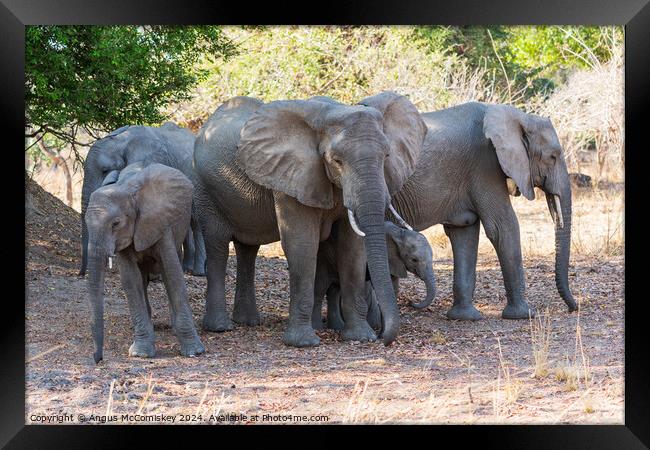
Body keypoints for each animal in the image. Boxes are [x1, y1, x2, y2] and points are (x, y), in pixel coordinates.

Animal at [78, 123, 205, 278]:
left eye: (105, 170)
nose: (81, 274)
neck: (122, 141)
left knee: (196, 220)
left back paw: (198, 272)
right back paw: (185, 268)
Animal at [85, 162, 204, 362]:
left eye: (116, 223)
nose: (98, 359)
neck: (126, 190)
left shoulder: (160, 222)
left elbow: (173, 274)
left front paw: (195, 351)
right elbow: (131, 280)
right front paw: (140, 353)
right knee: (142, 279)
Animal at [192, 90, 426, 344]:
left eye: (386, 156)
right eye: (336, 161)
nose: (383, 337)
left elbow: (352, 247)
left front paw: (361, 337)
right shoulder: (291, 176)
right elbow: (302, 243)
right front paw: (303, 343)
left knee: (248, 249)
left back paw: (248, 322)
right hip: (206, 189)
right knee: (218, 246)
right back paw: (220, 327)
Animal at [382, 102, 576, 320]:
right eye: (553, 157)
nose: (572, 308)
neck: (519, 116)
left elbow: (464, 231)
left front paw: (464, 317)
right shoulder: (485, 165)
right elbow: (503, 227)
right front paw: (524, 314)